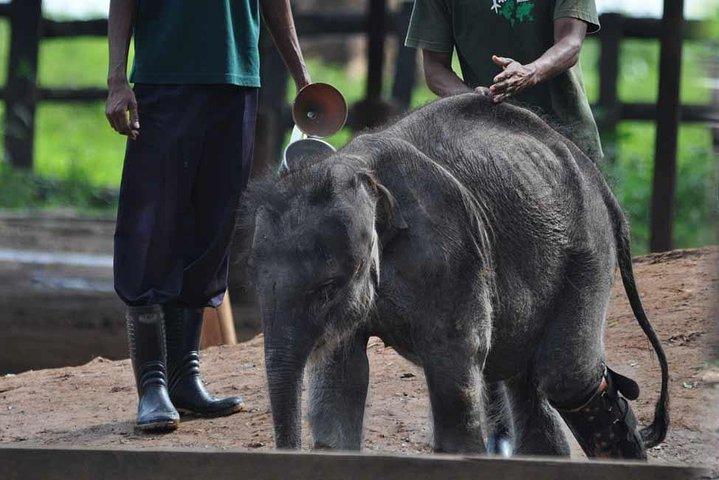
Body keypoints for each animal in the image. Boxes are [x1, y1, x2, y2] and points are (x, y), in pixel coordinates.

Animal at [239, 92, 669, 458]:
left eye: (329, 287)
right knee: (523, 372)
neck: (359, 172)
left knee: (566, 376)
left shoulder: (451, 250)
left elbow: (456, 357)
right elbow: (342, 374)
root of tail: (598, 178)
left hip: (587, 247)